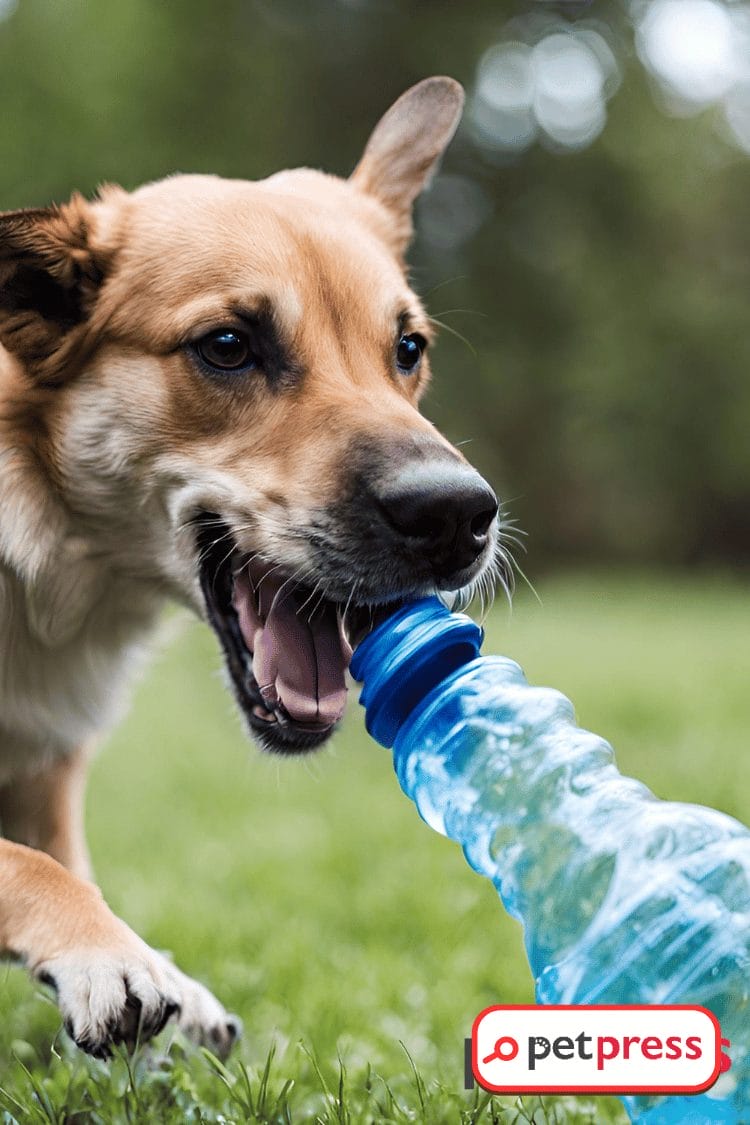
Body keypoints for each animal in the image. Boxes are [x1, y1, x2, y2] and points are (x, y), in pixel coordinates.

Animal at [1, 74, 503, 1057]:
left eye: (408, 349)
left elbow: (56, 856)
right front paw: (109, 954)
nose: (458, 516)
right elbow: (30, 867)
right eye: (228, 347)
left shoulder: (44, 767)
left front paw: (158, 973)